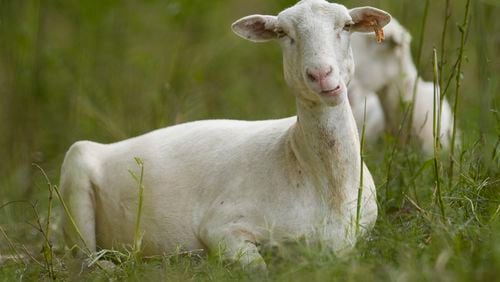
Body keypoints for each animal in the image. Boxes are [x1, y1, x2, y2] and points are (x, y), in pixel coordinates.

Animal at [60, 0, 392, 270]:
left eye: (346, 26)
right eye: (282, 33)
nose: (321, 75)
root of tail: (108, 146)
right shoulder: (221, 227)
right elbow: (258, 269)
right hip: (75, 180)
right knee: (85, 260)